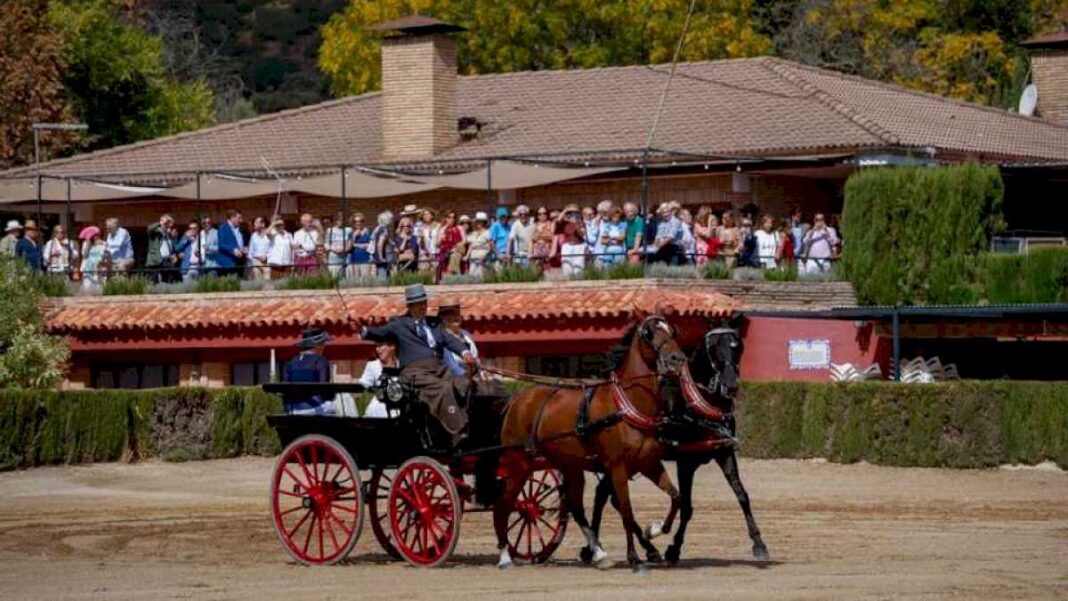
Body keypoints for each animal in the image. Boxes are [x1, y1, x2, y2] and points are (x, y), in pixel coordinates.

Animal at [489, 315, 683, 572]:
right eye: (649, 333)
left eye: (672, 331)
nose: (677, 358)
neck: (627, 405)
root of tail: (516, 399)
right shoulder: (617, 468)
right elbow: (626, 511)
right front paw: (634, 557)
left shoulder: (649, 464)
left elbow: (676, 497)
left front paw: (655, 530)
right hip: (520, 464)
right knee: (503, 505)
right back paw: (504, 557)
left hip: (570, 466)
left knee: (574, 505)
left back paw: (598, 551)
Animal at [585, 322, 768, 567]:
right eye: (712, 348)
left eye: (737, 346)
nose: (730, 385)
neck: (696, 404)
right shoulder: (685, 462)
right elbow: (687, 506)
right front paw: (674, 548)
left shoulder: (724, 452)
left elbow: (742, 495)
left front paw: (758, 543)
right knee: (608, 497)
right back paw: (599, 548)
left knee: (606, 496)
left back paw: (635, 548)